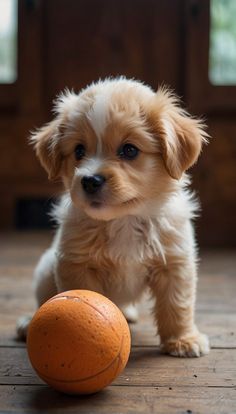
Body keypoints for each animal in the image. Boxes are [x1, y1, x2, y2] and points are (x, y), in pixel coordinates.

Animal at [18, 77, 210, 356]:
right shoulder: (76, 263)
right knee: (44, 300)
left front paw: (183, 340)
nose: (90, 180)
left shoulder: (175, 261)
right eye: (79, 151)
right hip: (45, 271)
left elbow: (177, 305)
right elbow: (80, 300)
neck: (125, 220)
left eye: (129, 150)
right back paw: (28, 321)